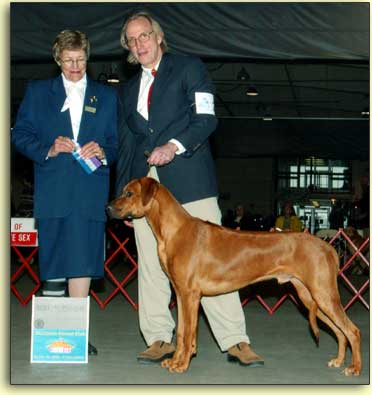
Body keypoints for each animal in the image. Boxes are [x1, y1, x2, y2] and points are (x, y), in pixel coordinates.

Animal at [107, 178, 360, 376]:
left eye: (129, 193)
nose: (108, 208)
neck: (173, 230)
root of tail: (328, 247)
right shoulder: (180, 294)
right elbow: (180, 332)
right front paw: (176, 360)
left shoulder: (190, 296)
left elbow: (187, 332)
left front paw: (182, 364)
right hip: (310, 297)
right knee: (340, 331)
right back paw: (338, 361)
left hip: (323, 294)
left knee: (352, 330)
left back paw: (354, 368)